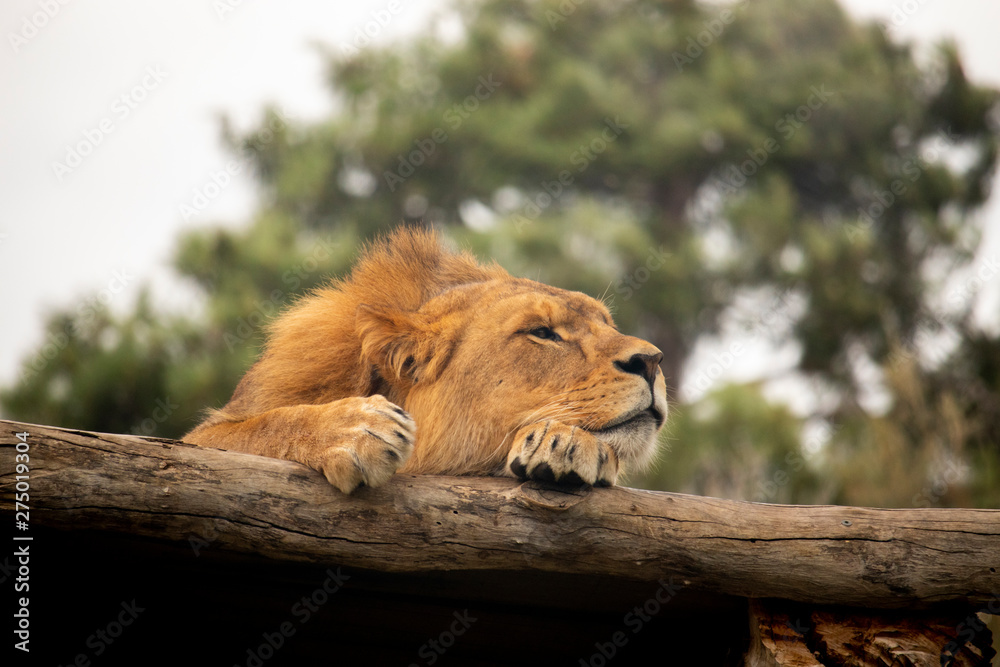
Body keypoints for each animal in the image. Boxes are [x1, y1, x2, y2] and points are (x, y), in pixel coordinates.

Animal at [185, 227, 668, 494]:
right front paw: (355, 429)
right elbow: (267, 426)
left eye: (606, 323)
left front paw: (570, 442)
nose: (652, 360)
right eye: (543, 333)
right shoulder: (202, 440)